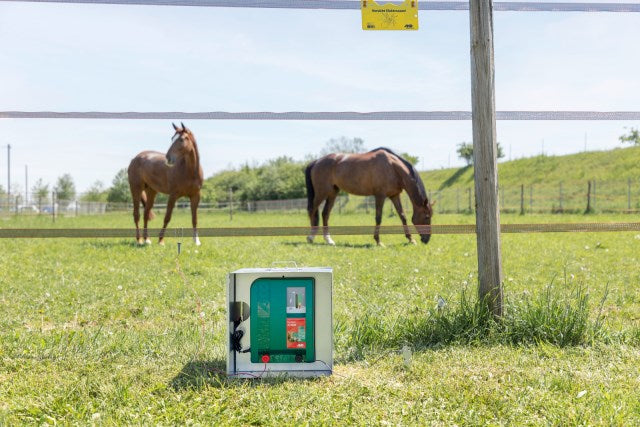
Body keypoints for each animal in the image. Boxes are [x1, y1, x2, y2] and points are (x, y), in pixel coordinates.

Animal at [304, 148, 436, 246]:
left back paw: (329, 240)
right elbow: (378, 218)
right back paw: (311, 237)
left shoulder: (394, 196)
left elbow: (402, 216)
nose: (427, 239)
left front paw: (410, 239)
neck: (392, 167)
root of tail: (316, 162)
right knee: (312, 210)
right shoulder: (380, 196)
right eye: (426, 216)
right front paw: (378, 241)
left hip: (332, 193)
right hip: (321, 193)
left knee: (325, 214)